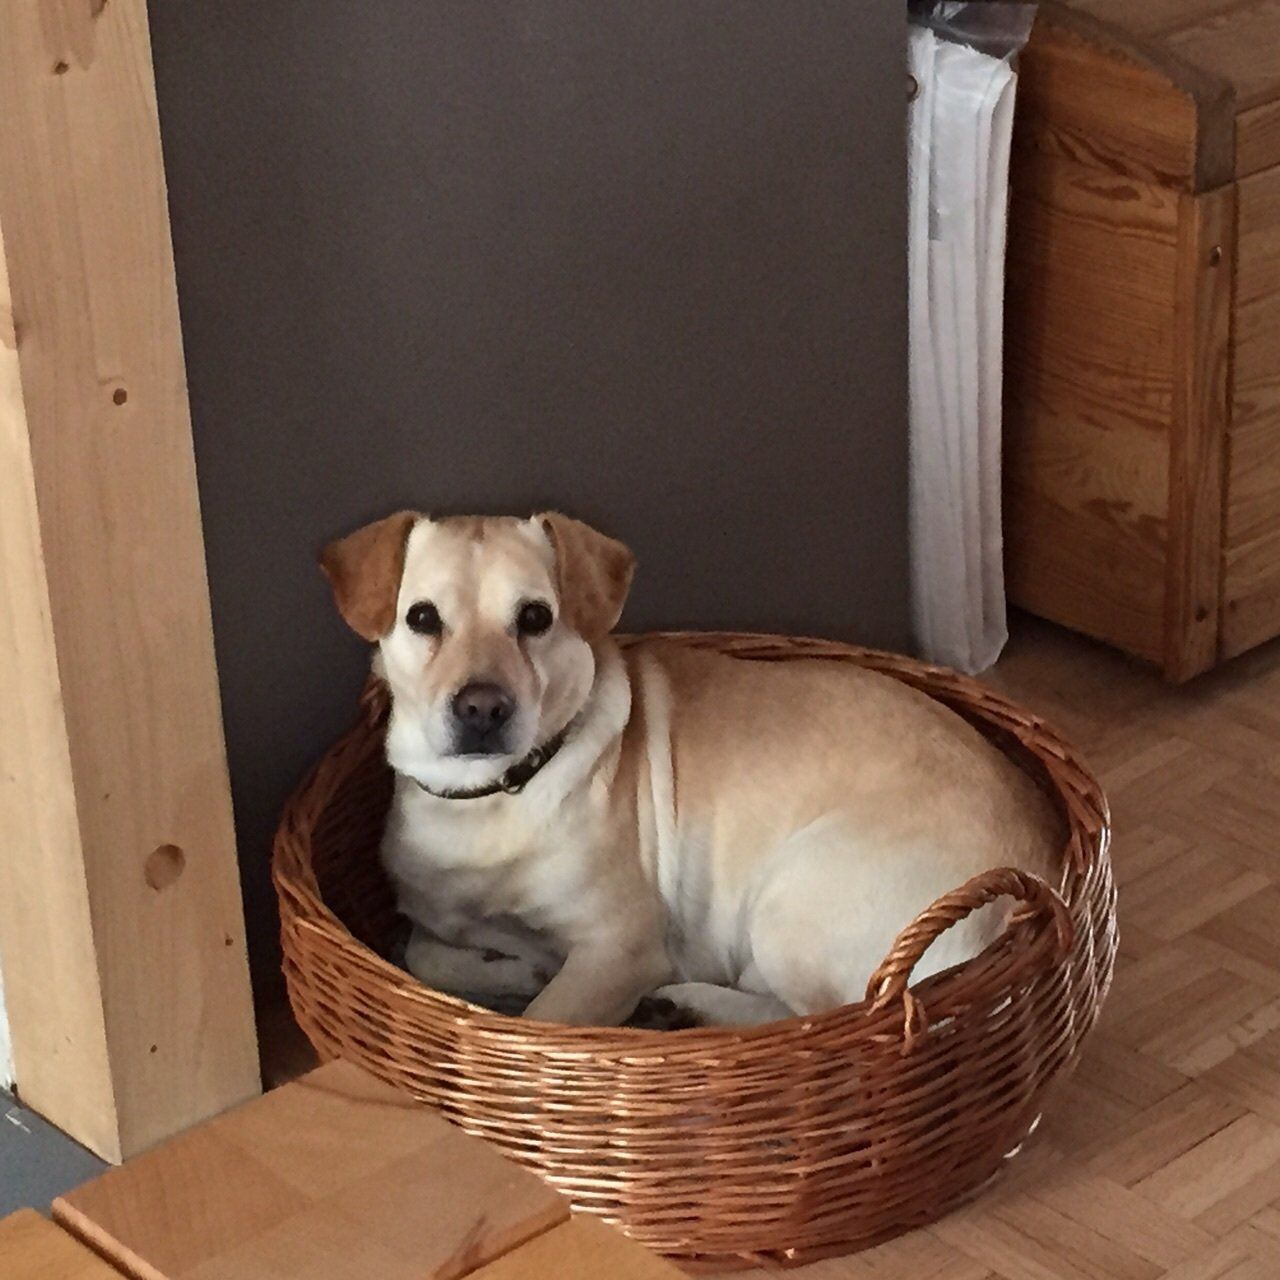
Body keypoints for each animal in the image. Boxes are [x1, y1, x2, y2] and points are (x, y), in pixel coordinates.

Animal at [320, 511, 1062, 1027]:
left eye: (534, 618)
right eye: (422, 618)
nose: (482, 708)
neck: (489, 798)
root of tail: (1042, 881)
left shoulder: (618, 948)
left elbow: (547, 1017)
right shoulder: (431, 920)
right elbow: (426, 951)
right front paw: (513, 965)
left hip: (789, 902)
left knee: (827, 1018)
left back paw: (689, 1005)